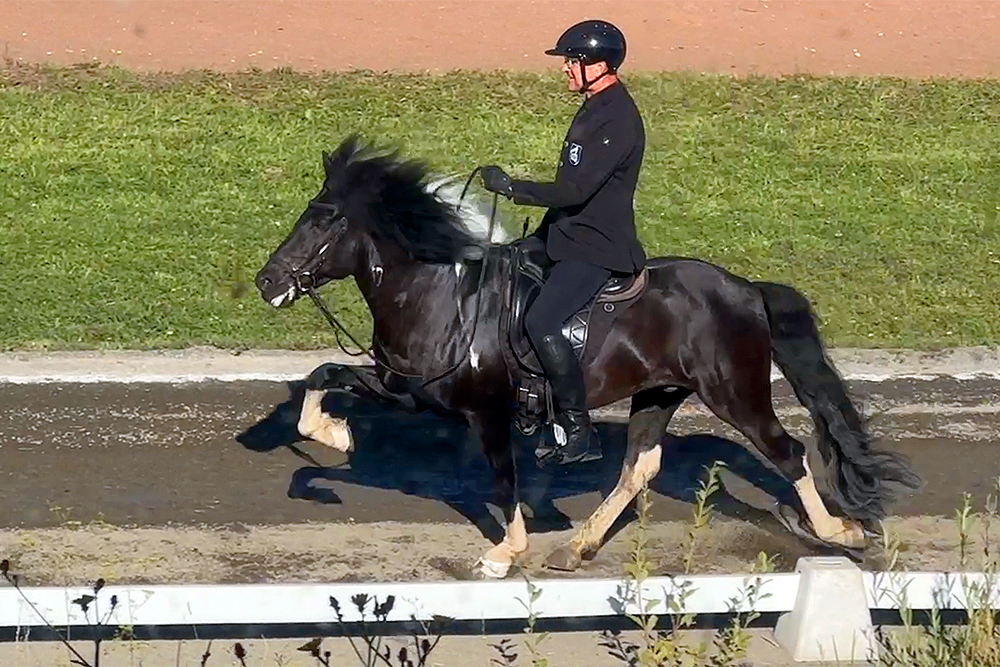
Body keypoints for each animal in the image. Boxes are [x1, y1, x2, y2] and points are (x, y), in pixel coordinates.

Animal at [256, 136, 920, 580]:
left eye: (325, 220)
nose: (267, 282)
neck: (441, 295)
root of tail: (747, 288)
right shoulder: (409, 388)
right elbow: (324, 376)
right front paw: (334, 437)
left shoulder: (487, 411)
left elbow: (503, 478)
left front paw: (504, 553)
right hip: (659, 392)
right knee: (640, 466)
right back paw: (578, 548)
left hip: (735, 394)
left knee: (789, 453)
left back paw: (843, 529)